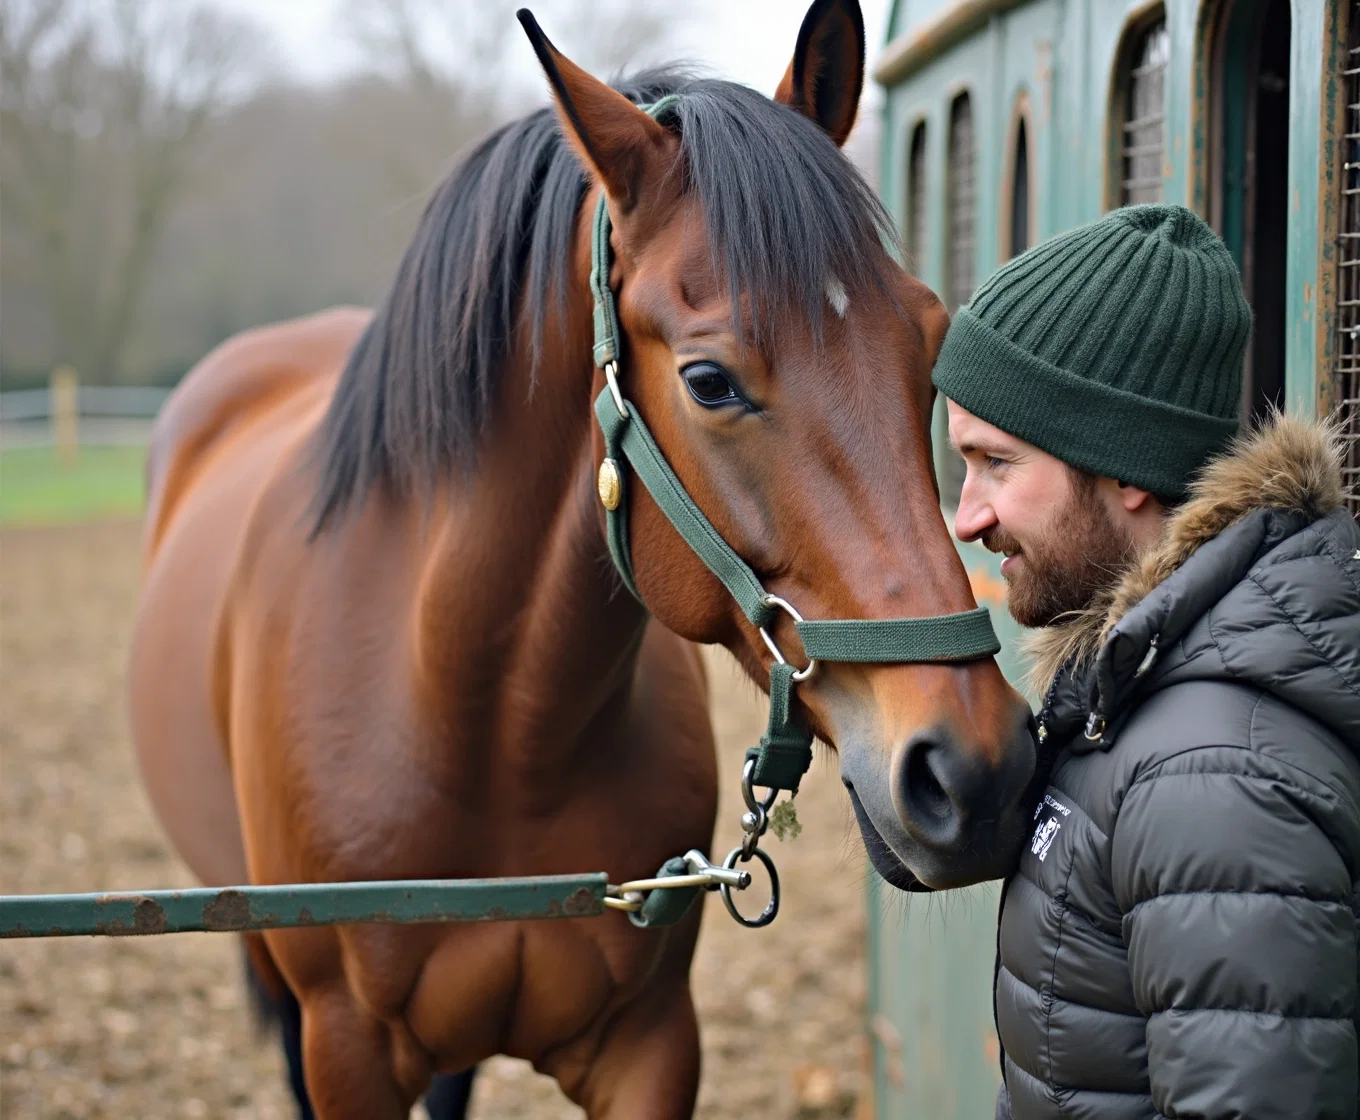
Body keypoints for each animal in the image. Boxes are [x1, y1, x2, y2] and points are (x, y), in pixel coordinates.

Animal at [129, 4, 1028, 1114]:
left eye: (927, 337)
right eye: (708, 380)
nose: (975, 769)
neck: (481, 726)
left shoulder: (651, 1043)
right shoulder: (345, 1048)